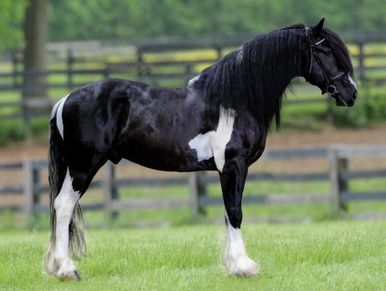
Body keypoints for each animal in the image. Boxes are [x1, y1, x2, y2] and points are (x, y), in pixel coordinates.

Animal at [46, 20, 358, 280]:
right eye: (325, 50)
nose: (351, 93)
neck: (234, 101)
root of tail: (63, 100)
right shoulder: (233, 164)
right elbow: (235, 212)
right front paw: (243, 267)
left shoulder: (230, 169)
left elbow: (228, 212)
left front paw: (233, 265)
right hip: (82, 166)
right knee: (63, 206)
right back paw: (67, 269)